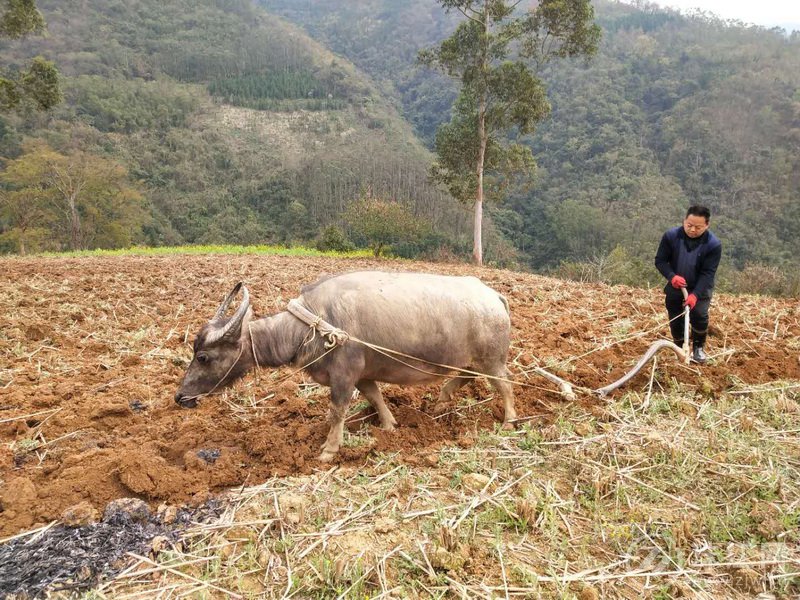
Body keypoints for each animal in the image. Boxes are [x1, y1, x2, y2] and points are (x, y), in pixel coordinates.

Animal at [173, 270, 516, 462]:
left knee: (504, 384)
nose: (180, 397)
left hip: (492, 359)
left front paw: (329, 449)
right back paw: (441, 403)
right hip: (473, 360)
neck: (315, 325)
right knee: (465, 378)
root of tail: (493, 296)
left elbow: (337, 411)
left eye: (203, 357)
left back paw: (510, 420)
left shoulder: (343, 376)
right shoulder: (362, 376)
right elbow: (375, 397)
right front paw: (389, 425)